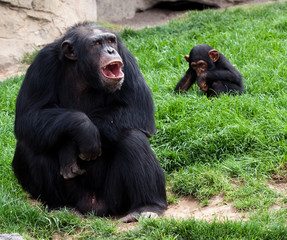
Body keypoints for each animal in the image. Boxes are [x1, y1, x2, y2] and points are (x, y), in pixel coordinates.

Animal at [12, 21, 168, 222]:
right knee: (32, 143)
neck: (82, 72)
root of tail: (93, 207)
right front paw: (82, 129)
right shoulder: (41, 64)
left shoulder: (126, 57)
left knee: (132, 137)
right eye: (96, 43)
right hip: (75, 196)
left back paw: (147, 207)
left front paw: (69, 147)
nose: (110, 50)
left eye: (111, 40)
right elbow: (28, 116)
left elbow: (138, 107)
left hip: (114, 198)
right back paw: (60, 207)